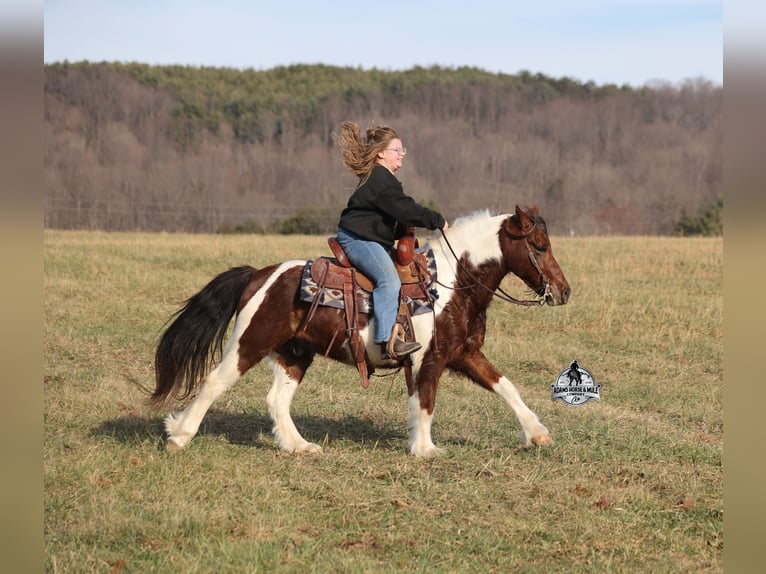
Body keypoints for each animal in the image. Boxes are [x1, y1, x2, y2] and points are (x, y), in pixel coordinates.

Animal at [151, 205, 570, 457]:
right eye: (539, 245)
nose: (563, 291)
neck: (452, 282)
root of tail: (258, 274)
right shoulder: (428, 359)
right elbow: (425, 401)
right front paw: (425, 449)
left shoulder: (464, 353)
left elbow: (506, 386)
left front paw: (537, 433)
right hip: (248, 343)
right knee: (214, 383)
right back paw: (179, 435)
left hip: (294, 353)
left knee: (276, 400)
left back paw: (300, 446)